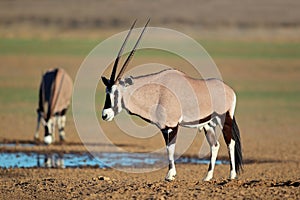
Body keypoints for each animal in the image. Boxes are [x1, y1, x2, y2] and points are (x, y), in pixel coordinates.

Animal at [102, 19, 243, 181]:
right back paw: (207, 176)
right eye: (106, 91)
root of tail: (230, 91)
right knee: (215, 145)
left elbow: (171, 148)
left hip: (224, 119)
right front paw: (171, 173)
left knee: (230, 143)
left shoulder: (173, 125)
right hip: (208, 124)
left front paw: (170, 175)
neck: (158, 91)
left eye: (116, 92)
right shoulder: (164, 128)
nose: (105, 115)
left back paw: (232, 175)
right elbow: (168, 148)